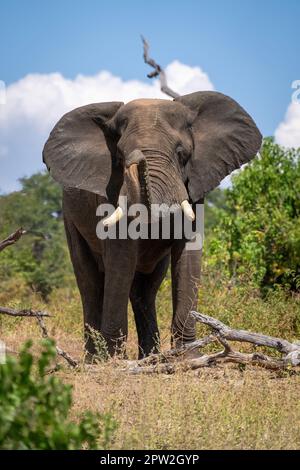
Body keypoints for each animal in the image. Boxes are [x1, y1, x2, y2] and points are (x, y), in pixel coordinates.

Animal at [42, 90, 262, 358]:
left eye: (181, 153)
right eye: (120, 156)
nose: (137, 159)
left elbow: (188, 256)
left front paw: (188, 356)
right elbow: (121, 258)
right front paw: (115, 362)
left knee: (144, 288)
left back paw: (150, 357)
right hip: (70, 217)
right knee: (91, 282)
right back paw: (96, 360)